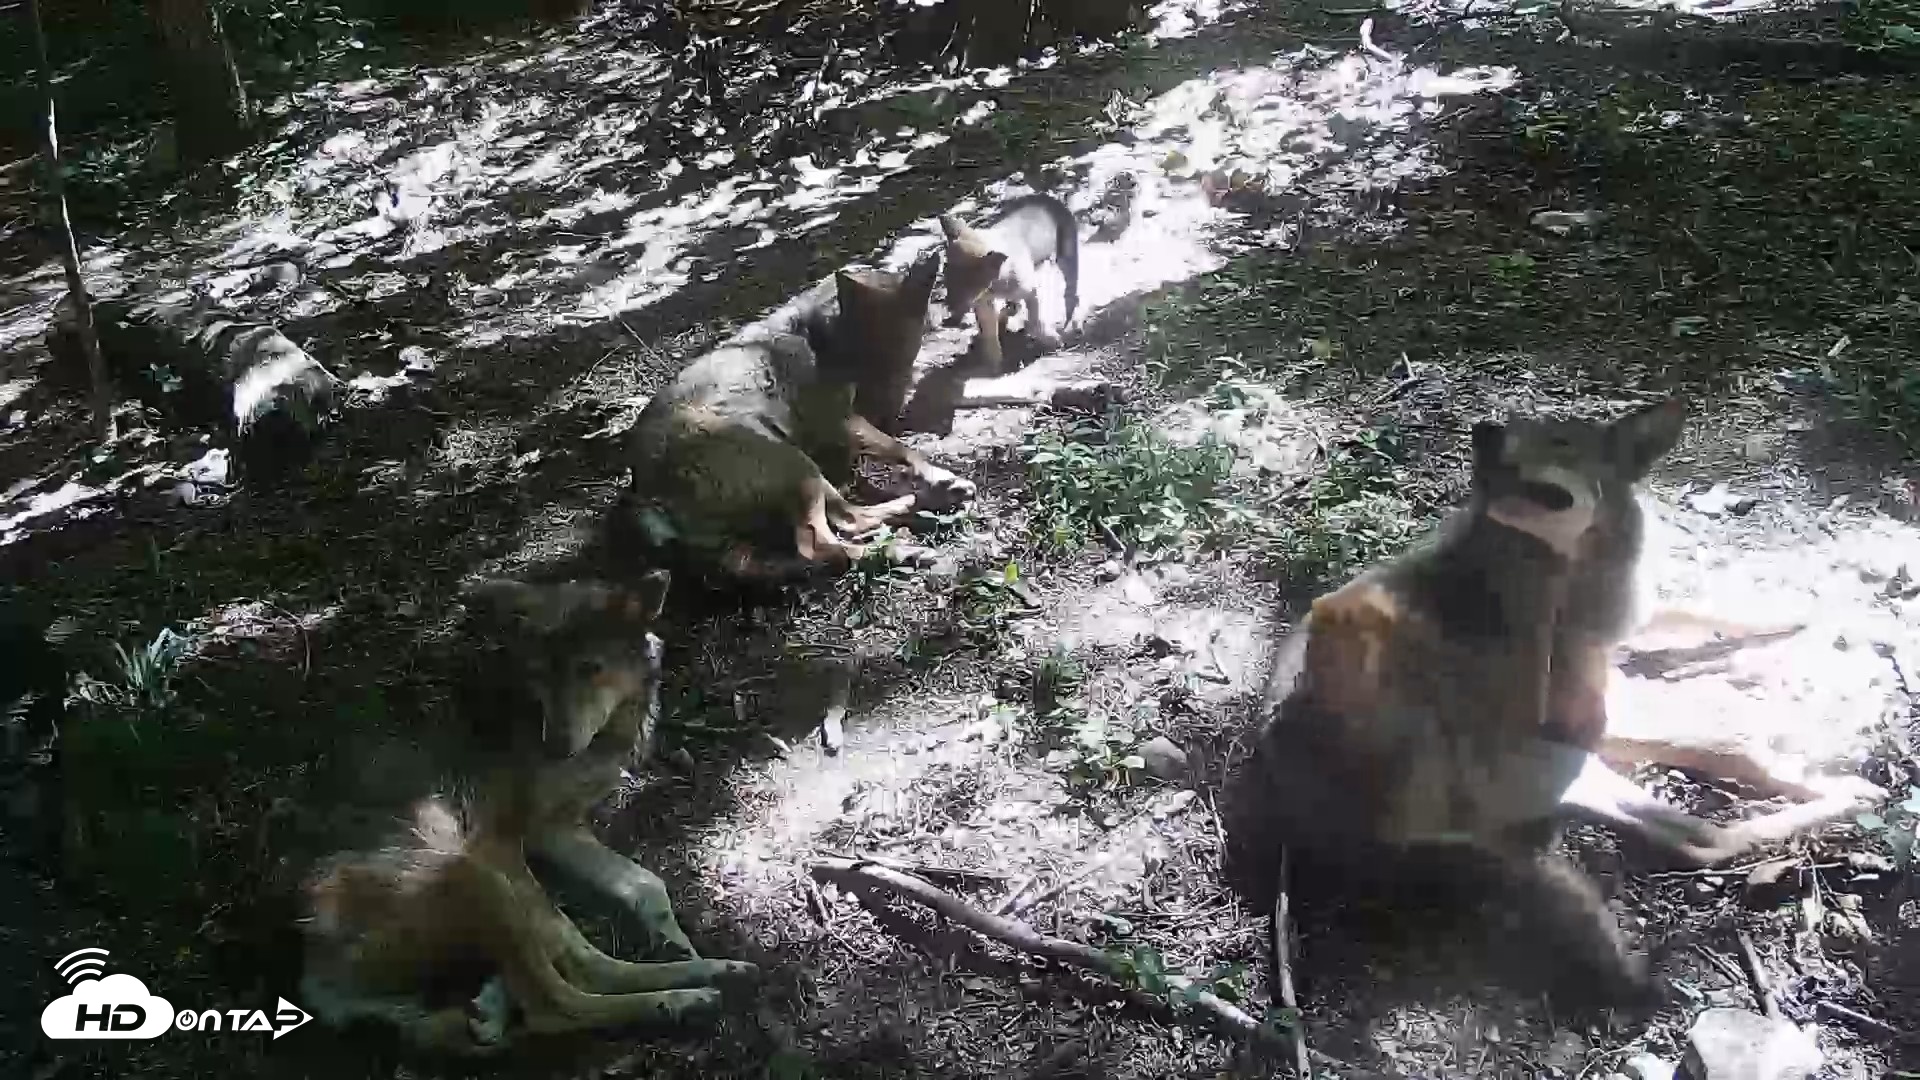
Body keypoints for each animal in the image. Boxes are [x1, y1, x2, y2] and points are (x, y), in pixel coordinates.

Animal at [299, 574, 759, 1054]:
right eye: (540, 673)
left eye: (589, 668)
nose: (554, 746)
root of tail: (319, 985)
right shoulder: (499, 838)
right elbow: (568, 933)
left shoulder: (555, 828)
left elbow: (646, 885)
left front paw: (677, 940)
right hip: (473, 876)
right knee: (559, 999)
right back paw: (689, 995)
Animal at [620, 253, 978, 585]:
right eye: (874, 353)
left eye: (904, 347)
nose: (892, 408)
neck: (824, 334)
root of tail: (646, 496)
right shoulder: (839, 418)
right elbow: (900, 448)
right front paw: (938, 474)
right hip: (795, 465)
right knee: (827, 539)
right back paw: (906, 543)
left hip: (790, 484)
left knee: (843, 527)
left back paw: (917, 514)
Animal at [938, 194, 1081, 371]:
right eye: (945, 275)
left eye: (967, 283)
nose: (949, 308)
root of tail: (1045, 196)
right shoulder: (984, 305)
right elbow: (990, 335)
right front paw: (994, 365)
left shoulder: (1031, 291)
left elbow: (1035, 321)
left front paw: (1052, 339)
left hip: (1066, 257)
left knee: (1071, 291)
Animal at [1223, 400, 1882, 1010]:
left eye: (1558, 437)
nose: (1484, 434)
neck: (1579, 569)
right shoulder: (1581, 705)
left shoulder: (1617, 646)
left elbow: (1701, 616)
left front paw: (1789, 620)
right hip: (1561, 763)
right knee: (1706, 833)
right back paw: (1849, 796)